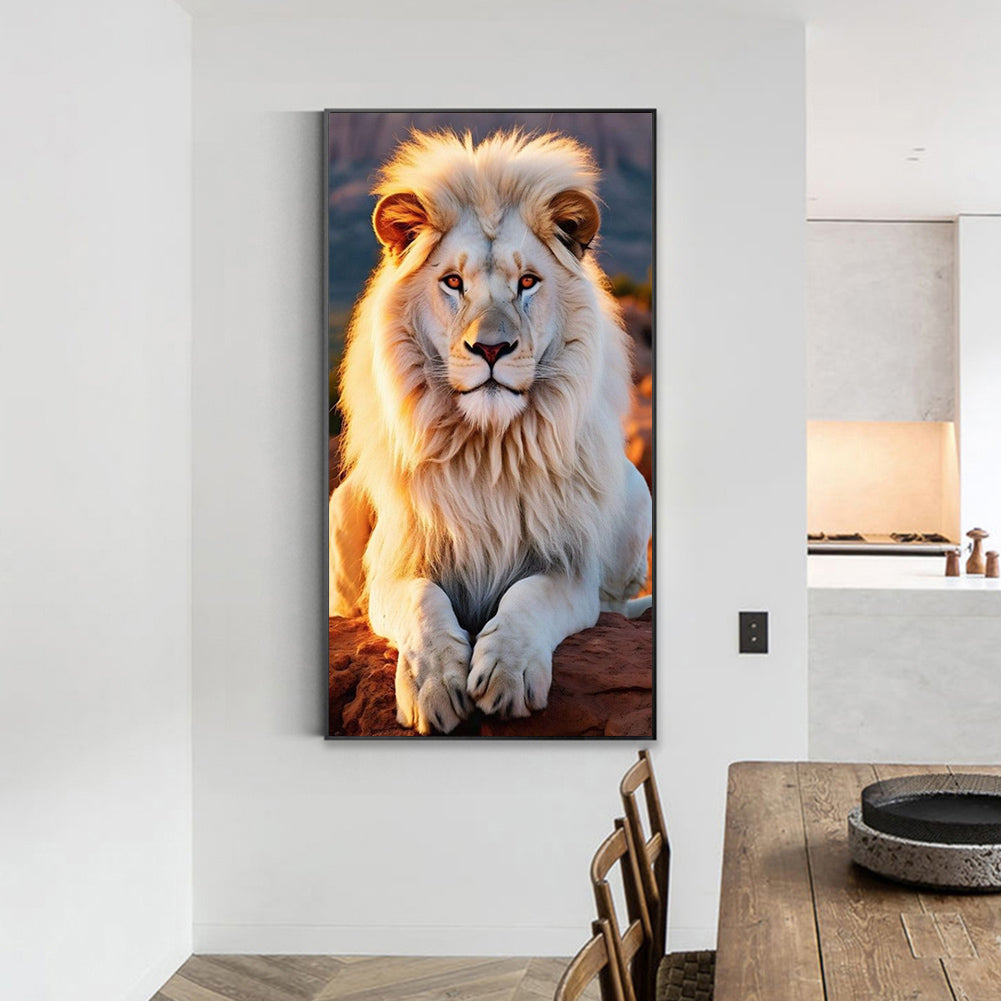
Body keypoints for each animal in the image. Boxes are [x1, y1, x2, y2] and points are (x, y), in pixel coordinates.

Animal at [329, 129, 652, 734]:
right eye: (453, 282)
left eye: (527, 282)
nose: (492, 348)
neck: (487, 450)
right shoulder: (397, 563)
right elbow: (422, 605)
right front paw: (434, 685)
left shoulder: (568, 567)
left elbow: (529, 599)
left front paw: (508, 673)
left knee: (619, 604)